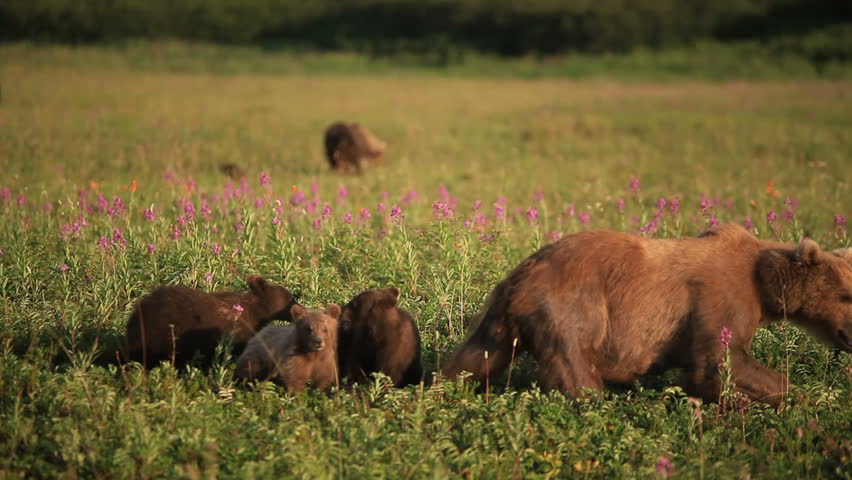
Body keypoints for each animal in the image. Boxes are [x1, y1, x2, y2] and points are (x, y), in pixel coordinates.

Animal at [442, 224, 852, 406]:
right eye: (847, 295)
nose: (851, 333)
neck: (765, 285)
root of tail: (518, 276)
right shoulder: (720, 295)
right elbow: (720, 360)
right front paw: (799, 398)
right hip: (570, 306)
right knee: (576, 368)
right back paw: (594, 405)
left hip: (499, 320)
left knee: (474, 358)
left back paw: (441, 387)